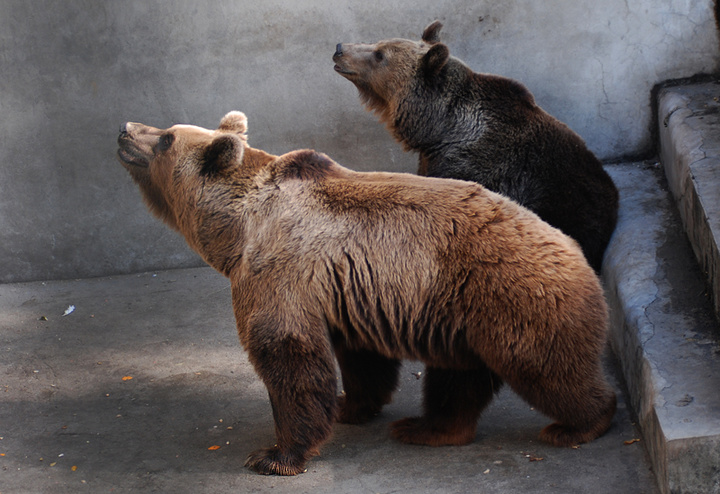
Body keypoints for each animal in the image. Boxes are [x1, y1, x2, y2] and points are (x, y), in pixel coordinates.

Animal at [119, 111, 620, 474]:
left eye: (166, 138)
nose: (125, 129)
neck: (236, 229)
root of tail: (578, 254)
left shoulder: (279, 269)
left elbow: (286, 352)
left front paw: (275, 455)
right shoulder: (344, 288)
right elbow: (360, 358)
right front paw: (348, 405)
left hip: (513, 297)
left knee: (548, 370)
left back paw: (579, 425)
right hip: (462, 317)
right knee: (458, 378)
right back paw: (426, 427)